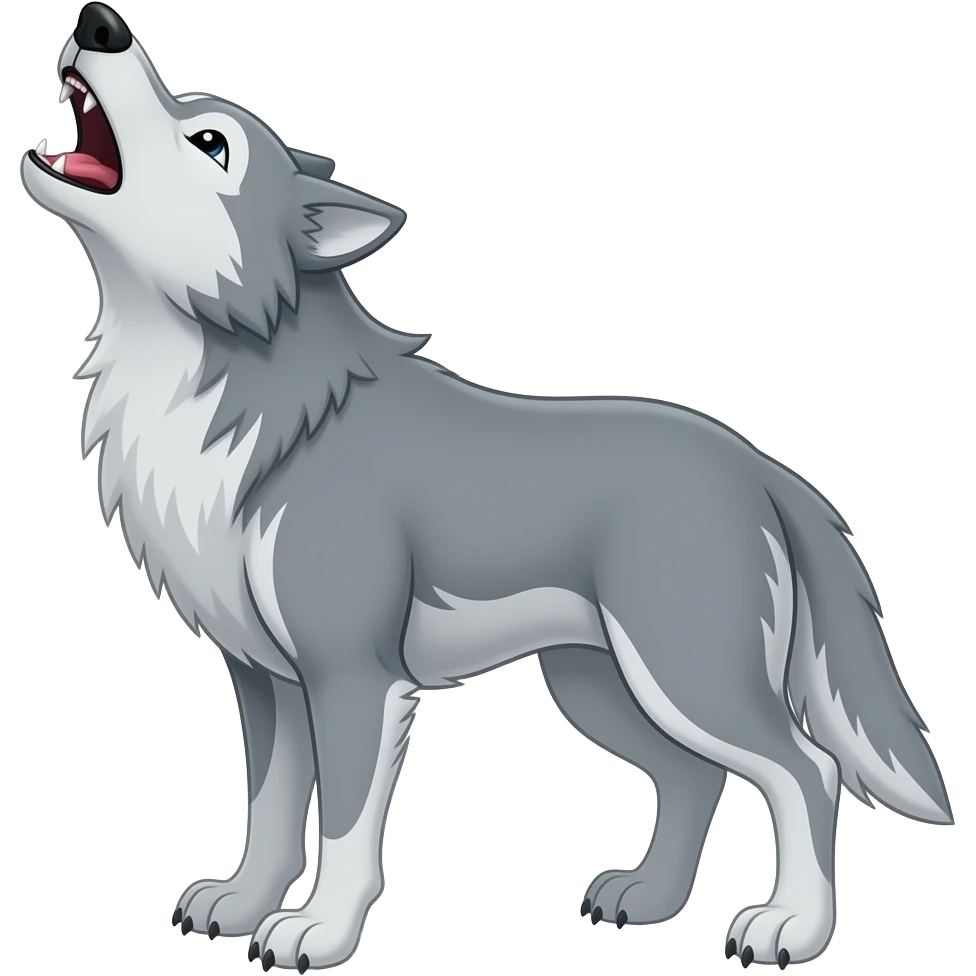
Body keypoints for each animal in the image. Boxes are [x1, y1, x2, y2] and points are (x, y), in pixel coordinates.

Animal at [20, 3, 954, 972]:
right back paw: (648, 898)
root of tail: (763, 465)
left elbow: (343, 825)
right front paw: (242, 905)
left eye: (211, 141)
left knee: (806, 769)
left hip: (684, 676)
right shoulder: (265, 681)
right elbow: (270, 809)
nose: (99, 21)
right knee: (697, 776)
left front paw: (319, 930)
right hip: (598, 686)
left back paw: (791, 927)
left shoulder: (353, 677)